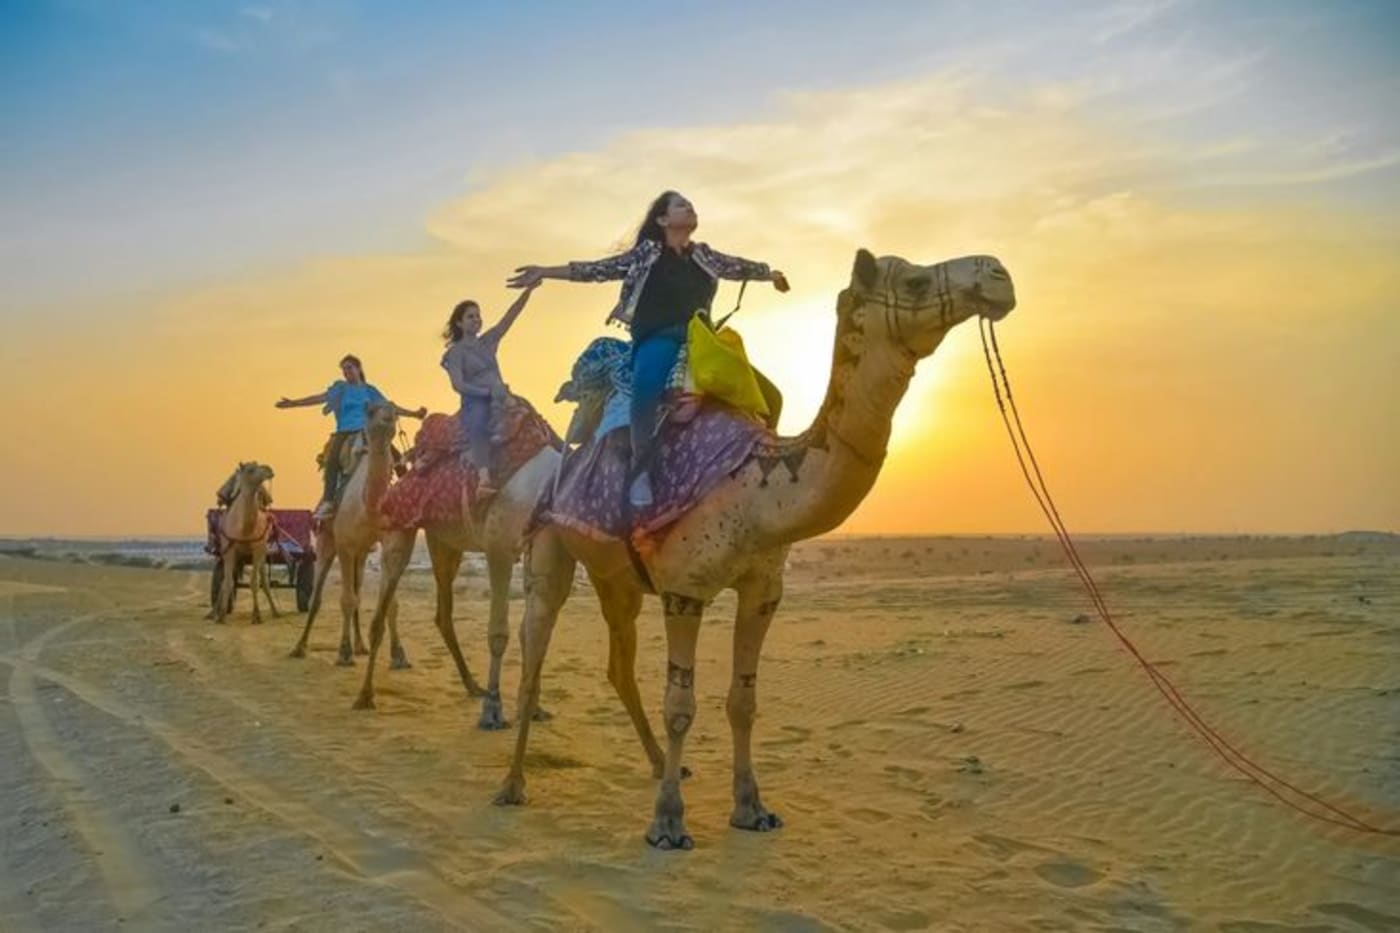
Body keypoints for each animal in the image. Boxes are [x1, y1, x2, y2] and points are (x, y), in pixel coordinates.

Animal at [212, 461, 278, 625]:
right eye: (250, 470)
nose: (269, 469)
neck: (244, 530)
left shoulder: (257, 549)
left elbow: (254, 583)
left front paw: (257, 615)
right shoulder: (229, 551)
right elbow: (227, 582)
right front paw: (221, 616)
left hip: (262, 552)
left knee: (264, 581)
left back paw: (275, 611)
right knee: (225, 581)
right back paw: (213, 613)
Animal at [289, 402, 403, 666]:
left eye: (394, 410)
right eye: (370, 411)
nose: (387, 416)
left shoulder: (385, 543)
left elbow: (390, 602)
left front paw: (398, 654)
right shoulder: (344, 545)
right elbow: (346, 600)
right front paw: (343, 652)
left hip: (361, 554)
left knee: (357, 592)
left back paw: (361, 646)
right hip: (325, 541)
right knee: (318, 596)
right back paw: (300, 647)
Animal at [351, 407, 562, 730]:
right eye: (370, 413)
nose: (382, 418)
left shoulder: (531, 550)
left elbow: (530, 631)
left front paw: (532, 708)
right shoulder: (498, 547)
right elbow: (500, 632)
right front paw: (493, 710)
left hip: (444, 542)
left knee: (441, 613)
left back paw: (473, 685)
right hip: (421, 532)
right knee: (387, 612)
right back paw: (365, 695)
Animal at [494, 249, 1017, 851]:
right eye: (913, 281)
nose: (998, 274)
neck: (753, 485)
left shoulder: (763, 589)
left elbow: (743, 702)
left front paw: (752, 809)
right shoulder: (684, 589)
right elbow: (680, 706)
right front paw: (668, 825)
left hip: (616, 577)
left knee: (618, 664)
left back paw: (657, 764)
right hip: (549, 544)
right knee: (534, 661)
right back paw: (512, 786)